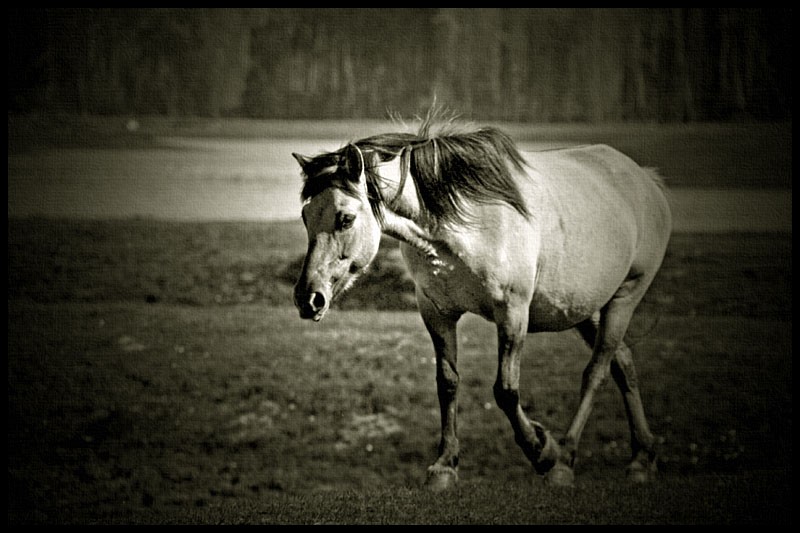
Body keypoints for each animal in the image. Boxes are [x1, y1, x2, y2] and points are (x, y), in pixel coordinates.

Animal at [290, 117, 672, 490]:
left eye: (345, 218)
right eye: (306, 217)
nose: (308, 298)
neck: (461, 228)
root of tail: (645, 181)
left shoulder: (513, 313)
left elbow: (505, 390)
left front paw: (542, 449)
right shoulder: (436, 312)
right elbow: (447, 383)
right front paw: (445, 467)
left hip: (624, 299)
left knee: (597, 372)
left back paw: (565, 460)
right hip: (585, 308)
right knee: (623, 363)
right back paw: (643, 457)